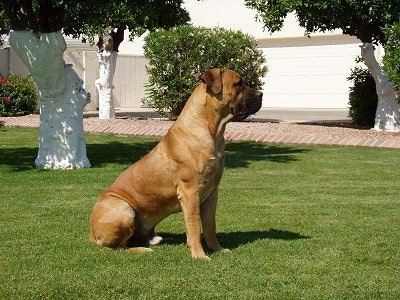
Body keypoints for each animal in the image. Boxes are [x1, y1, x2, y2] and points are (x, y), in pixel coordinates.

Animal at [90, 67, 262, 258]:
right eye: (239, 83)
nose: (261, 94)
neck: (212, 130)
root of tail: (91, 233)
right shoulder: (190, 192)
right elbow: (194, 224)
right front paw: (199, 255)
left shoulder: (211, 193)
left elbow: (210, 225)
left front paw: (216, 248)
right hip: (124, 208)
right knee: (119, 246)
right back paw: (143, 249)